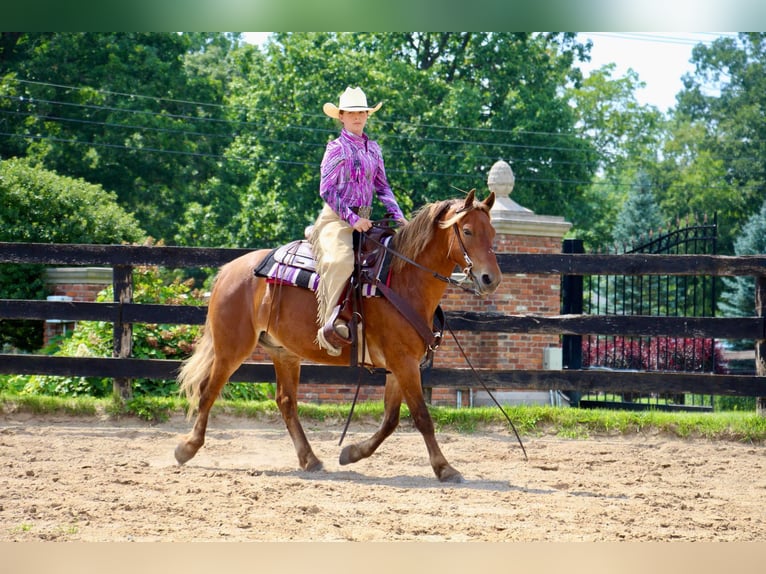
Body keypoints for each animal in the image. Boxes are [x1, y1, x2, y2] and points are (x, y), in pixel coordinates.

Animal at [178, 191, 504, 484]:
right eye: (467, 230)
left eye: (492, 232)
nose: (491, 279)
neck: (402, 280)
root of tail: (229, 270)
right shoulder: (403, 363)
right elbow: (421, 416)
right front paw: (444, 468)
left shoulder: (400, 365)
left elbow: (391, 419)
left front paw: (352, 453)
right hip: (232, 347)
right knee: (208, 390)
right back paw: (187, 448)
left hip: (283, 352)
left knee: (286, 401)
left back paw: (310, 459)